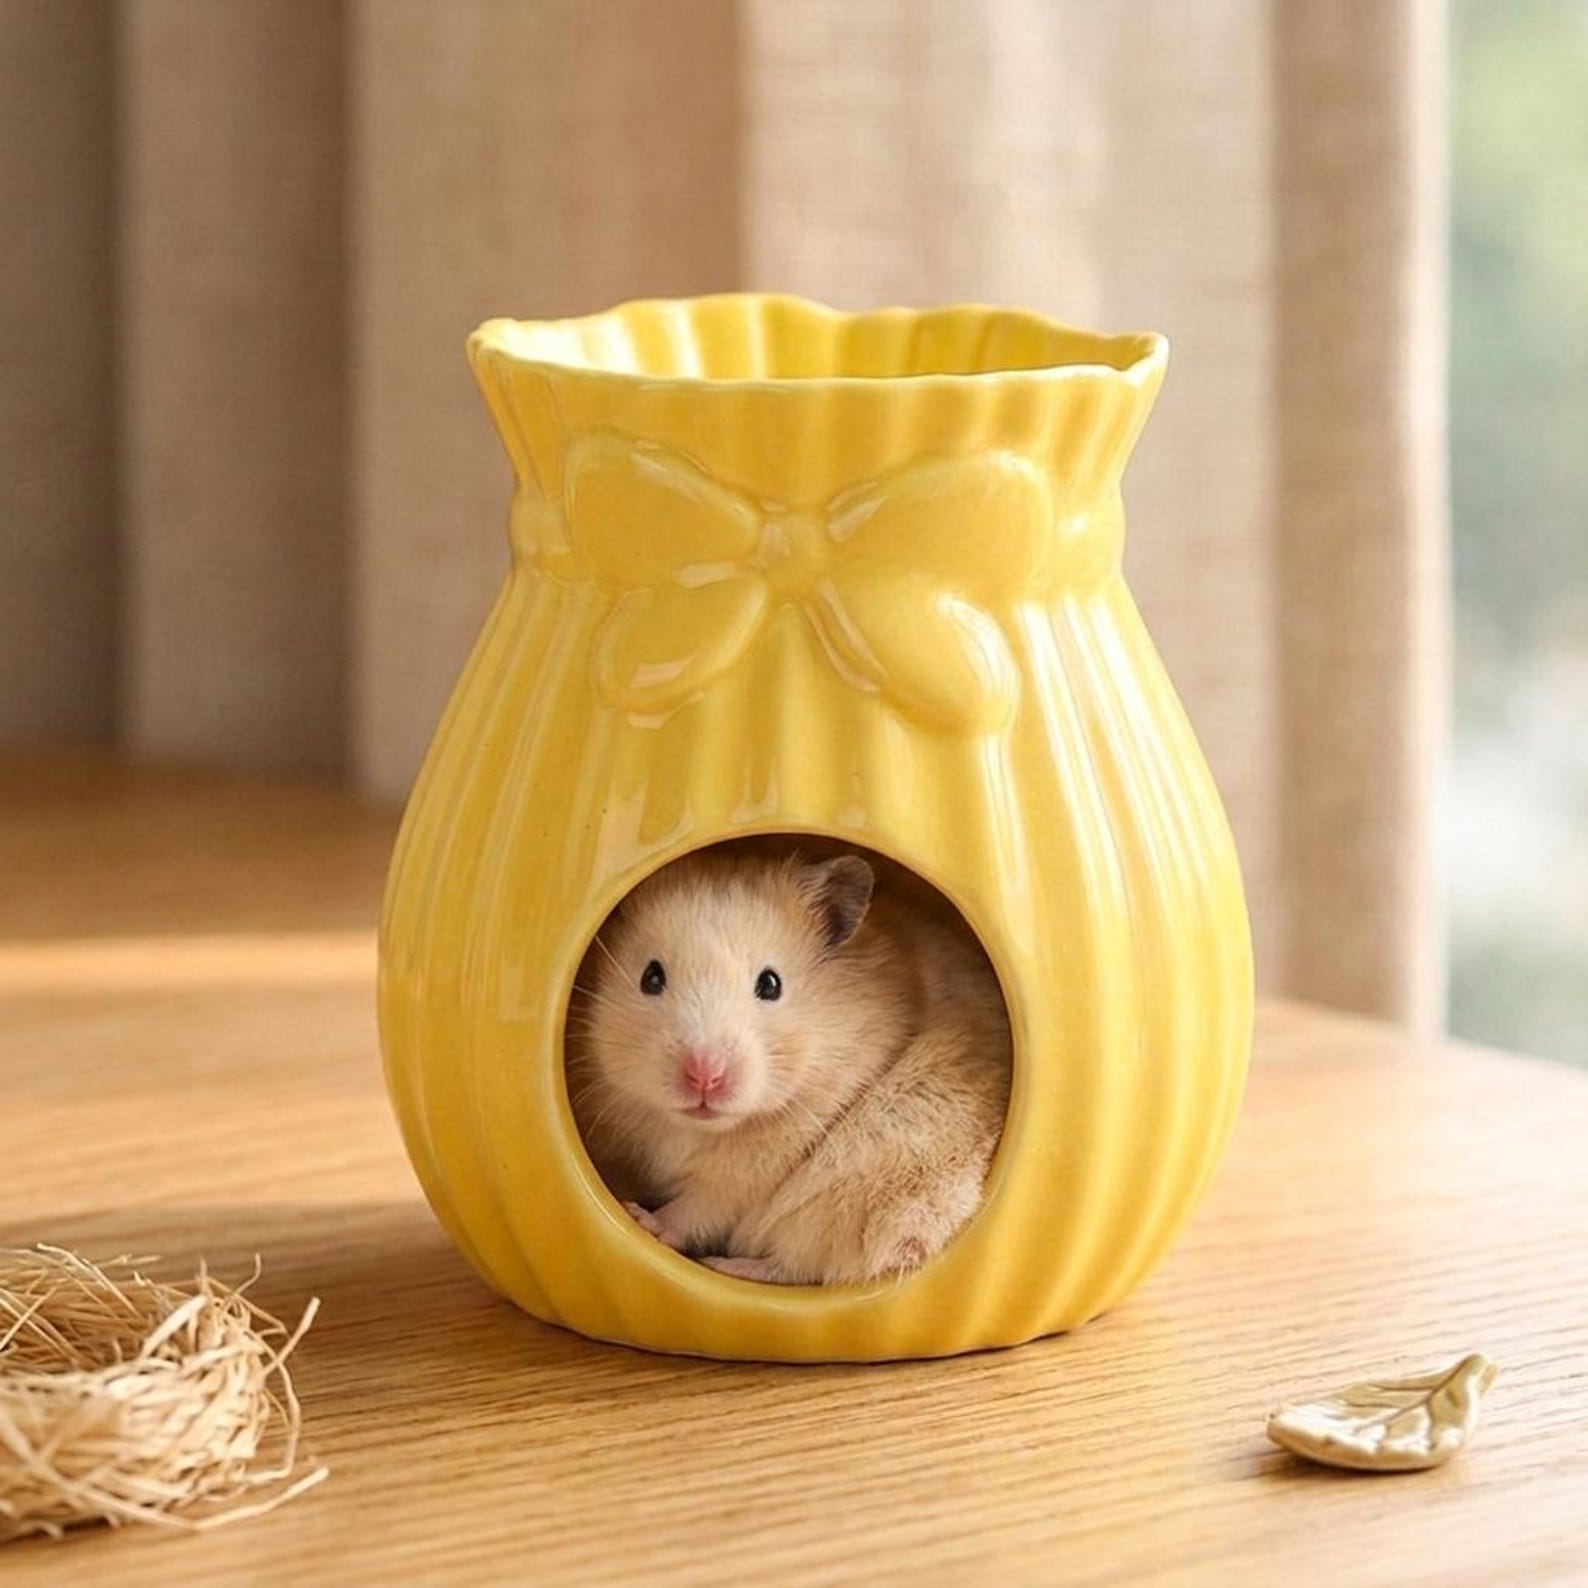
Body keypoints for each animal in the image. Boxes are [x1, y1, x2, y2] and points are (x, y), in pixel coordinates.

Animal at [566, 849, 1012, 1285]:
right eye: (651, 977)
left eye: (770, 984)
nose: (704, 1076)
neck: (699, 1128)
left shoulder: (756, 1172)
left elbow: (700, 1207)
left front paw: (641, 1219)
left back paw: (725, 1265)